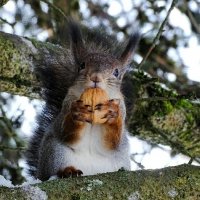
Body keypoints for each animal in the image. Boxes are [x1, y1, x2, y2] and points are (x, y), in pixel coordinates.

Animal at [26, 20, 139, 181]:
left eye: (116, 72)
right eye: (82, 65)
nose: (96, 77)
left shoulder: (121, 107)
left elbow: (113, 142)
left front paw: (112, 112)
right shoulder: (67, 103)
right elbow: (66, 132)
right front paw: (77, 113)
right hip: (55, 153)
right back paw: (67, 171)